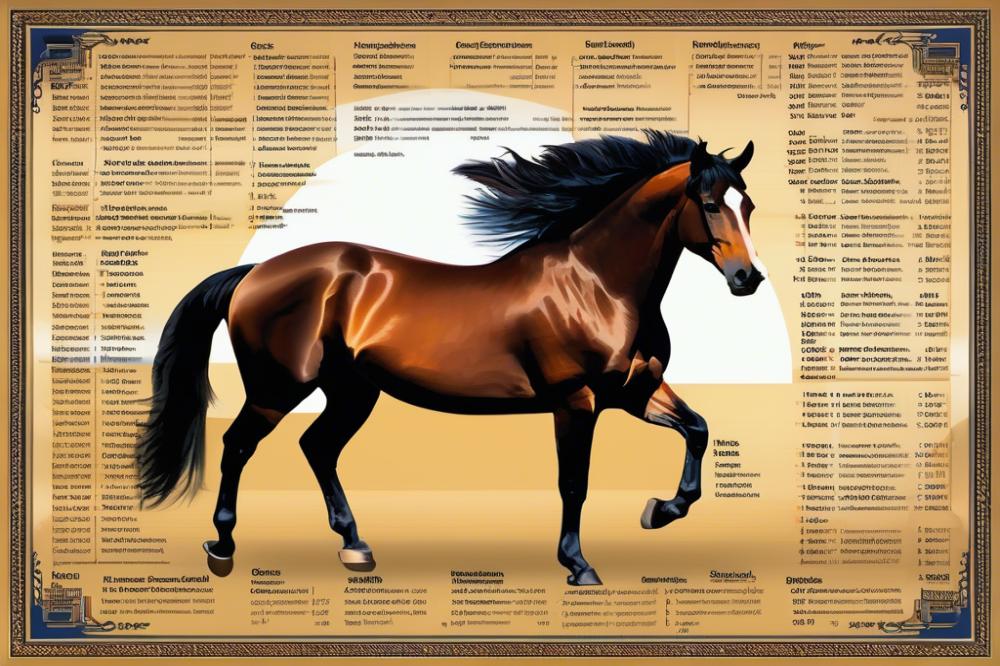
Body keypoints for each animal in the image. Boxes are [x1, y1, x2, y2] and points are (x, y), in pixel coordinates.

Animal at [136, 131, 765, 585]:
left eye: (749, 205)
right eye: (710, 204)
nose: (748, 279)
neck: (597, 285)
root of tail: (254, 273)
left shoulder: (634, 391)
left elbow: (697, 430)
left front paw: (661, 510)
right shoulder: (576, 401)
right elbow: (574, 483)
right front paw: (578, 565)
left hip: (352, 390)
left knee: (316, 447)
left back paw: (355, 546)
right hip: (277, 388)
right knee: (238, 445)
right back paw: (222, 547)